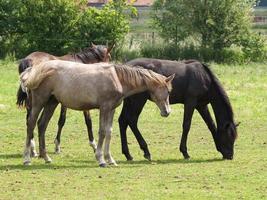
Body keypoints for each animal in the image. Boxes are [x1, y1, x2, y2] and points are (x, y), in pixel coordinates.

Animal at [19, 60, 175, 166]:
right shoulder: (104, 108)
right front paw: (101, 159)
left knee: (42, 125)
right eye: (168, 91)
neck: (117, 78)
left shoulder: (111, 109)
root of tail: (34, 69)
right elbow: (102, 131)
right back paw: (27, 158)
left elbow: (109, 132)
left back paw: (46, 157)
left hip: (51, 103)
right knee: (31, 123)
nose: (167, 112)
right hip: (39, 102)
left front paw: (110, 159)